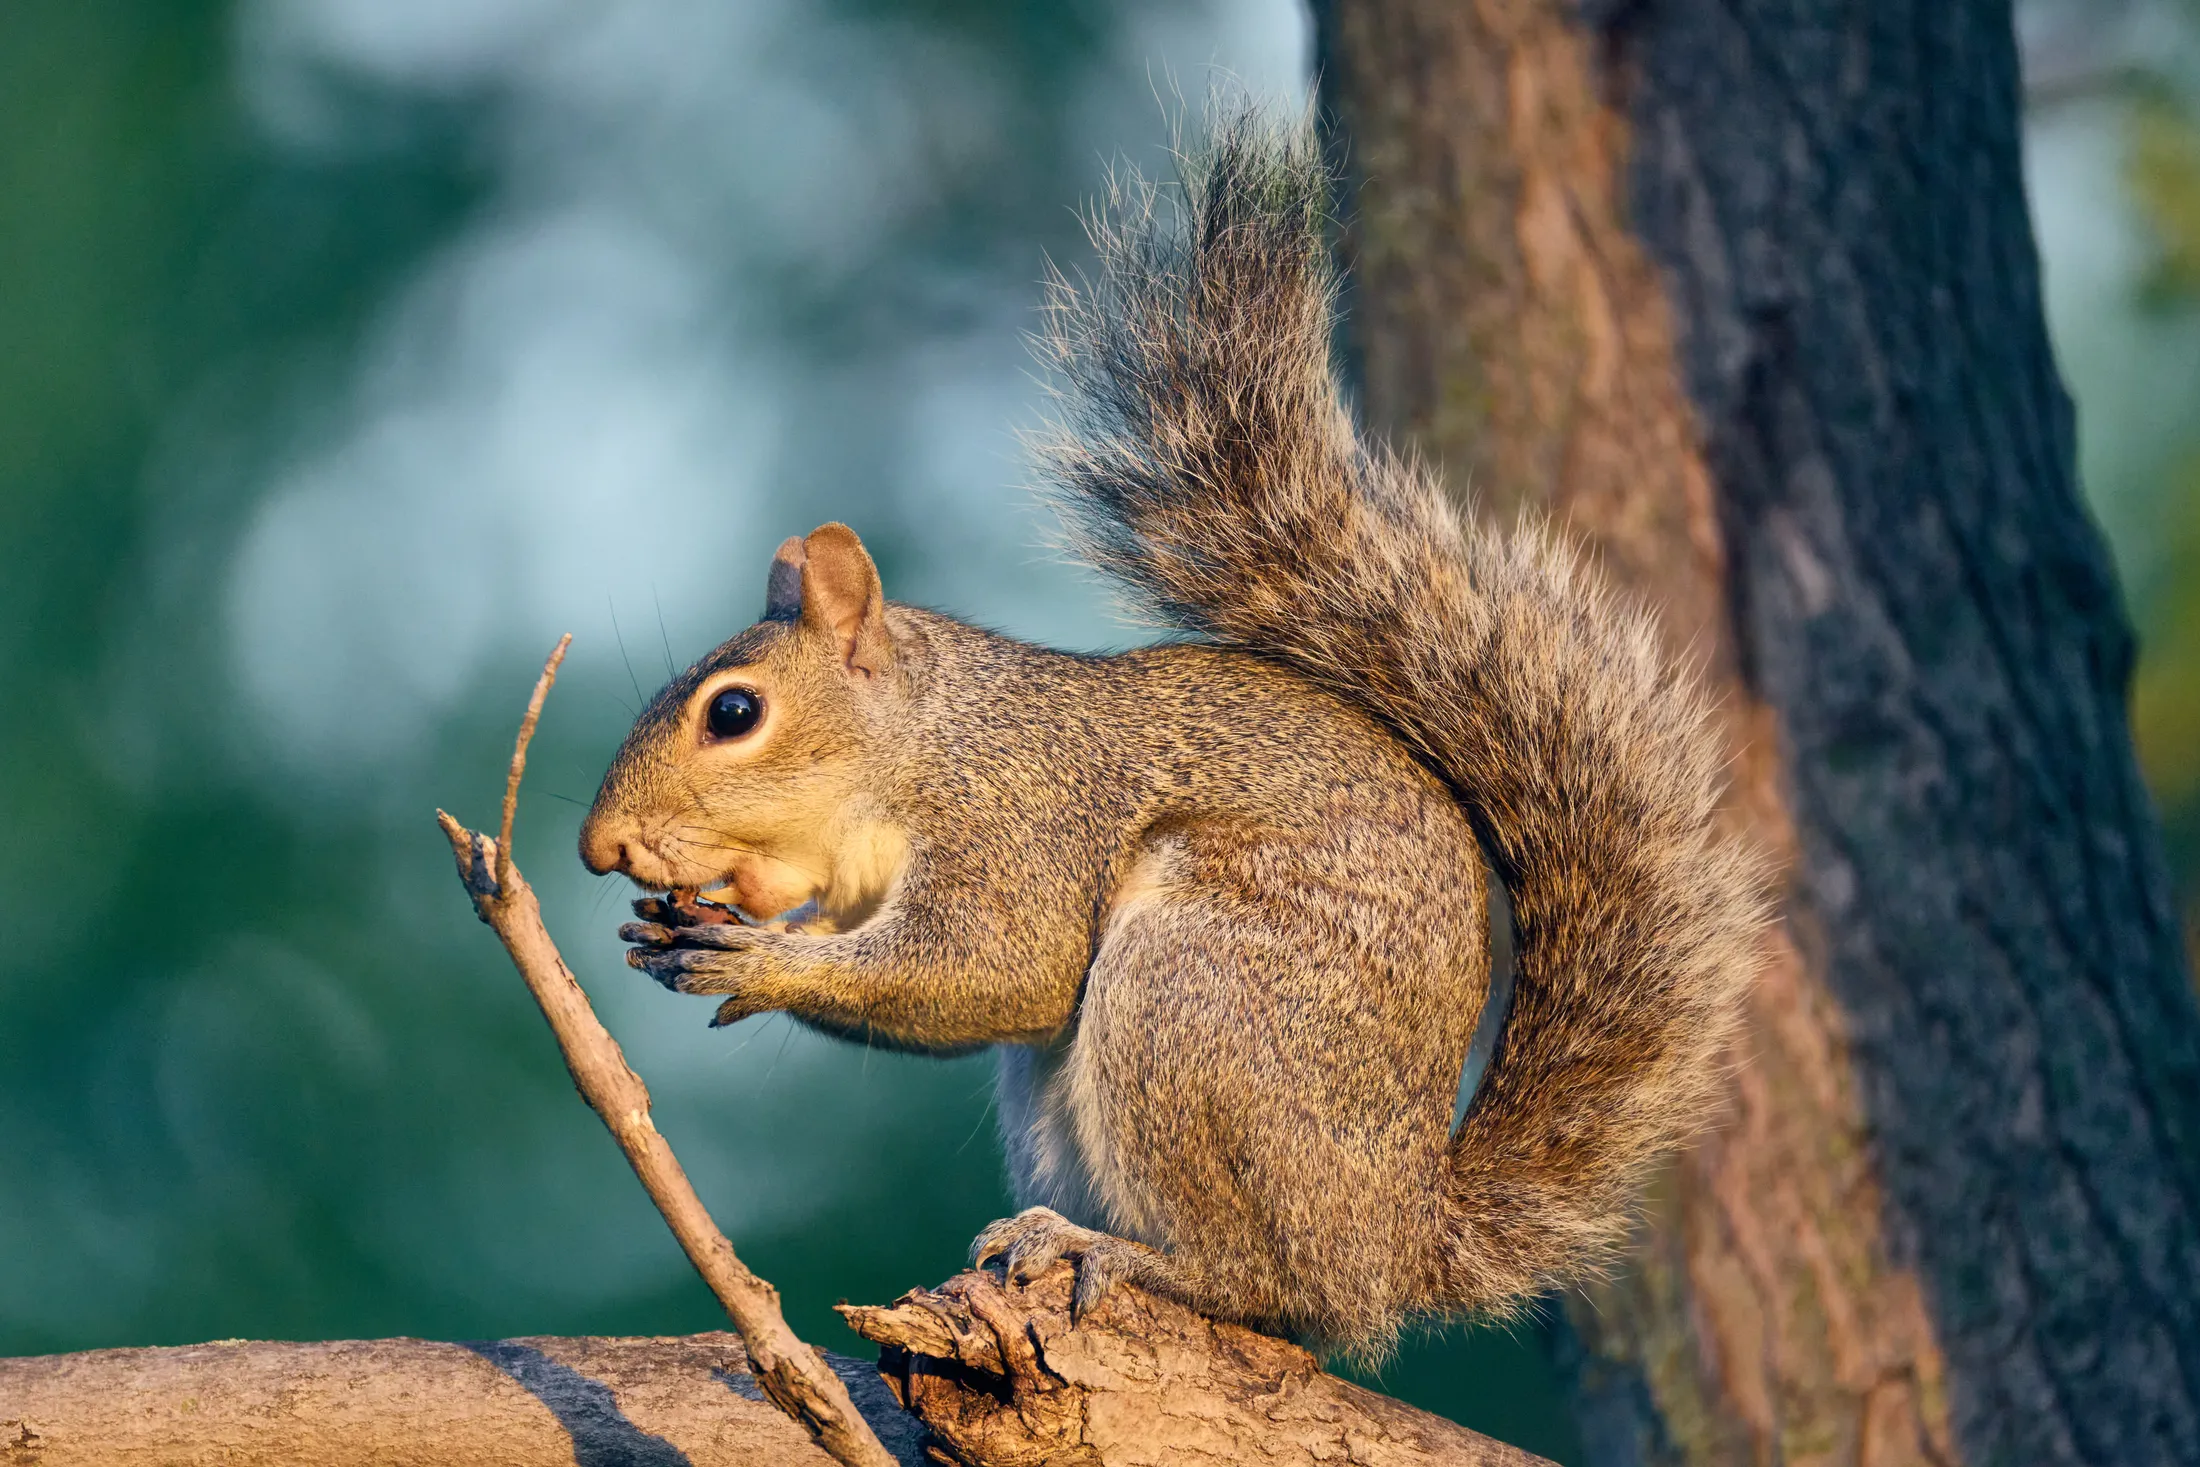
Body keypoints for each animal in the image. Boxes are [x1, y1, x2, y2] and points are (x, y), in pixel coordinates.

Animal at [577, 105, 1766, 1357]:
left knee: (1271, 1287)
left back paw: (1128, 1256)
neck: (918, 748)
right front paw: (685, 931)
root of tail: (1398, 1239)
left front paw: (756, 957)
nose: (603, 849)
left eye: (735, 713)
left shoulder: (1018, 821)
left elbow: (1000, 970)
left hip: (1195, 1005)